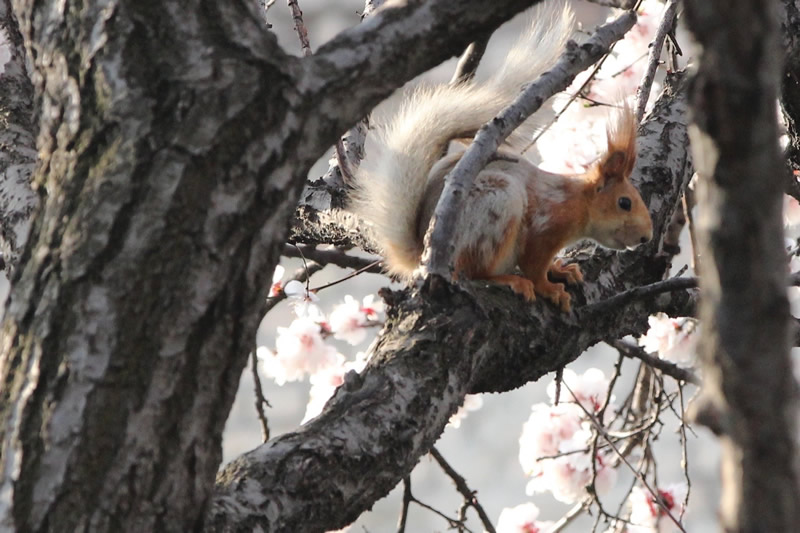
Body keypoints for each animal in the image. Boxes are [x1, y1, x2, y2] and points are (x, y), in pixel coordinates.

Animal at [354, 0, 652, 312]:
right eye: (624, 203)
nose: (646, 237)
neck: (577, 202)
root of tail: (425, 251)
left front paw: (561, 269)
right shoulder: (544, 227)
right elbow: (534, 266)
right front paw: (549, 288)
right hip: (496, 207)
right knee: (472, 271)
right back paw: (510, 280)